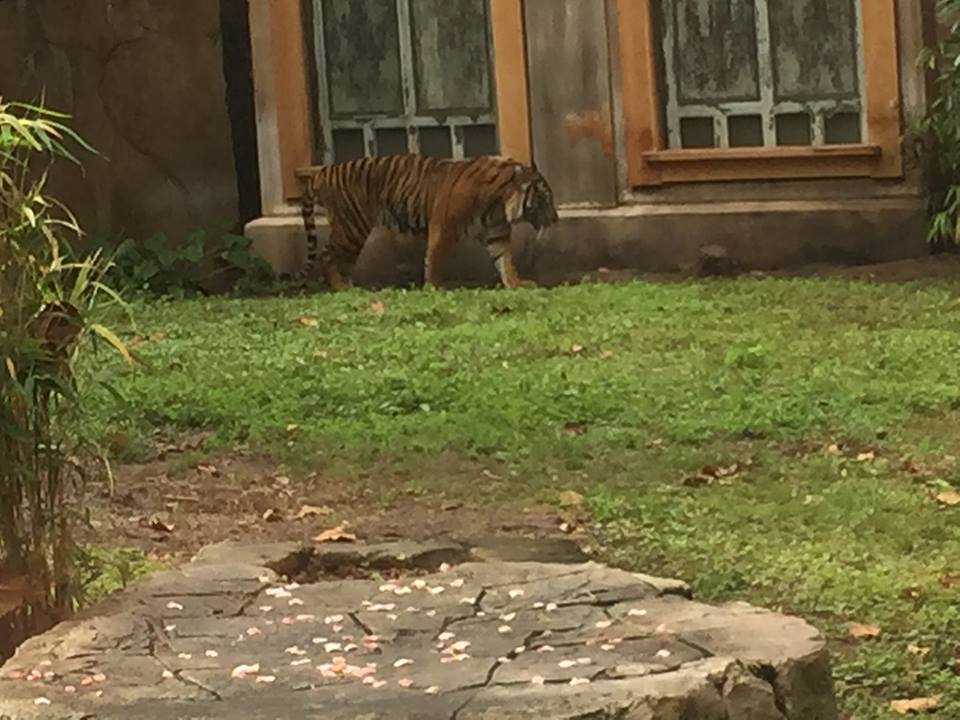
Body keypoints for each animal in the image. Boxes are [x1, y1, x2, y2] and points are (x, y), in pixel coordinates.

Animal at [295, 154, 559, 290]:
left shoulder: (496, 233)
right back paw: (340, 287)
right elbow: (435, 258)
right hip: (352, 229)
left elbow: (504, 260)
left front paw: (516, 284)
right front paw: (434, 287)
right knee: (326, 255)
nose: (556, 218)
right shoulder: (443, 226)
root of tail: (322, 171)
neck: (499, 204)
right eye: (545, 199)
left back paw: (347, 286)